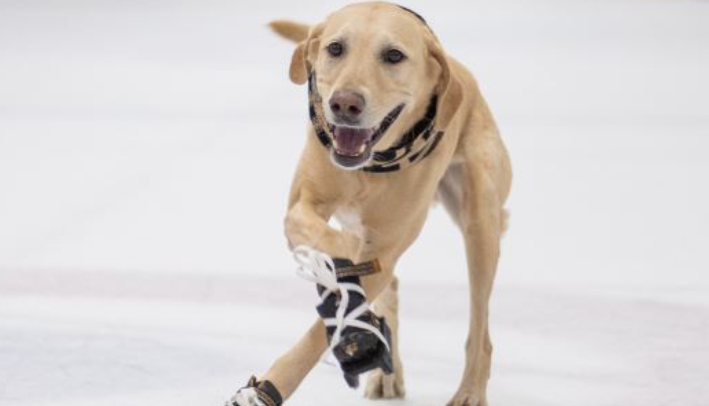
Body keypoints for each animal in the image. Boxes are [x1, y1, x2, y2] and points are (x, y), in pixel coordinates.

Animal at [227, 2, 508, 406]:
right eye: (335, 48)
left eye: (394, 55)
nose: (345, 103)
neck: (368, 168)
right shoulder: (304, 203)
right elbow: (307, 229)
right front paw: (335, 255)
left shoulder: (383, 253)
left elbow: (320, 331)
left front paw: (266, 388)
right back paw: (386, 372)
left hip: (481, 225)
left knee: (480, 327)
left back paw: (469, 391)